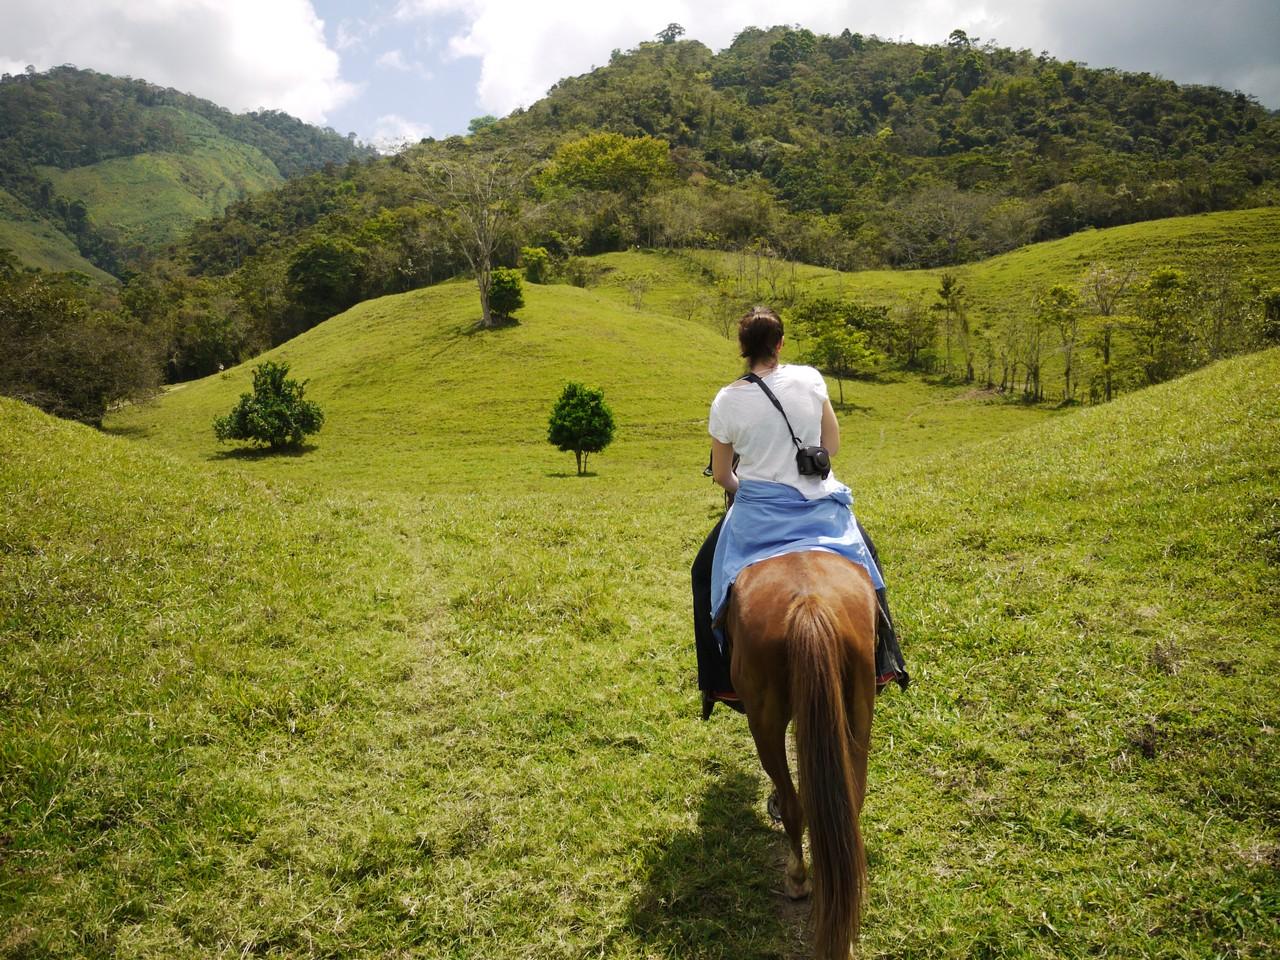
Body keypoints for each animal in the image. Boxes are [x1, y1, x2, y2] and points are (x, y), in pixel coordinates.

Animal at [727, 547, 875, 960]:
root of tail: (809, 602)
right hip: (857, 709)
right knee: (850, 803)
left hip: (764, 720)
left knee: (795, 806)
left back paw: (797, 879)